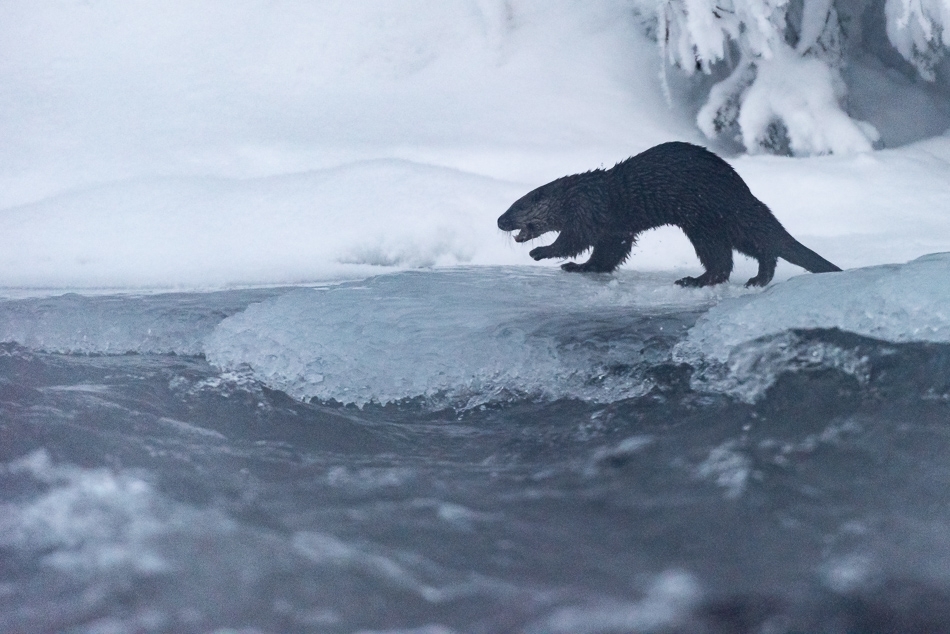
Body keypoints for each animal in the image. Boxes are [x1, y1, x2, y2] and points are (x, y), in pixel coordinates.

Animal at [497, 141, 840, 287]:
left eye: (515, 207)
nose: (499, 220)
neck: (573, 195)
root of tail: (741, 192)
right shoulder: (616, 231)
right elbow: (607, 254)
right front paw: (582, 268)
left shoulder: (586, 212)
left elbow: (573, 241)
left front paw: (542, 252)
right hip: (725, 223)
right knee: (762, 249)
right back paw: (758, 279)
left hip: (706, 221)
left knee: (725, 261)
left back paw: (696, 281)